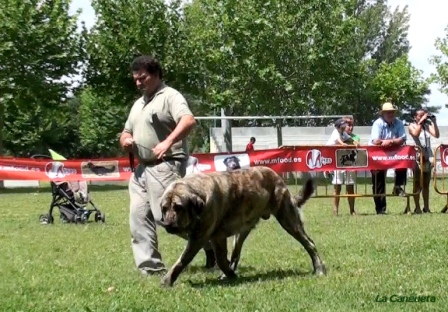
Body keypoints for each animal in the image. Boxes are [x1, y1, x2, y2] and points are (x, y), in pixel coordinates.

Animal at [159, 167, 328, 286]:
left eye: (178, 207)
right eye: (164, 208)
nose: (167, 224)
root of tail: (278, 177)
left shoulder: (199, 238)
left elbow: (183, 260)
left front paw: (167, 280)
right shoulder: (216, 238)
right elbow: (221, 259)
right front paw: (230, 274)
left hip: (289, 221)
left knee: (309, 243)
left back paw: (319, 268)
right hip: (241, 232)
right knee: (235, 255)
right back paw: (227, 274)